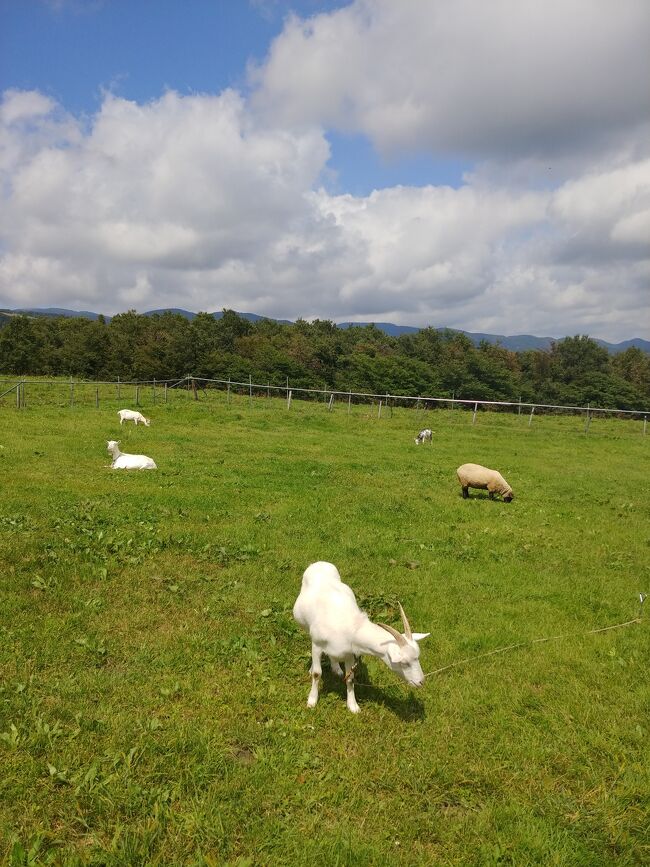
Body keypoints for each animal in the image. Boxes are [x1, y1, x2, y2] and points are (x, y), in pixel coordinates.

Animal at [292, 564, 428, 712]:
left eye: (417, 657)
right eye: (404, 663)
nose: (421, 682)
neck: (352, 627)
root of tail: (320, 563)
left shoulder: (349, 653)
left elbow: (350, 678)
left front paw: (353, 706)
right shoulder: (317, 645)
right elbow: (317, 674)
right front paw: (312, 701)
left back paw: (336, 669)